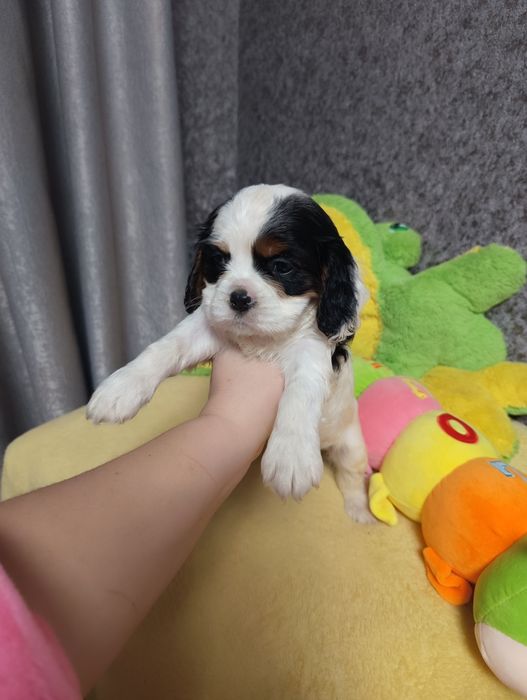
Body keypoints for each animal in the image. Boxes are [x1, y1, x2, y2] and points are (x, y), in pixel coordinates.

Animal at [87, 184, 374, 523]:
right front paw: (121, 387)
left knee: (351, 475)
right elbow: (167, 346)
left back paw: (359, 512)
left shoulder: (313, 347)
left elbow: (301, 391)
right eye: (218, 261)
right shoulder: (207, 326)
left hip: (351, 443)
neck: (263, 339)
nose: (238, 298)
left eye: (282, 267)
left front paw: (291, 455)